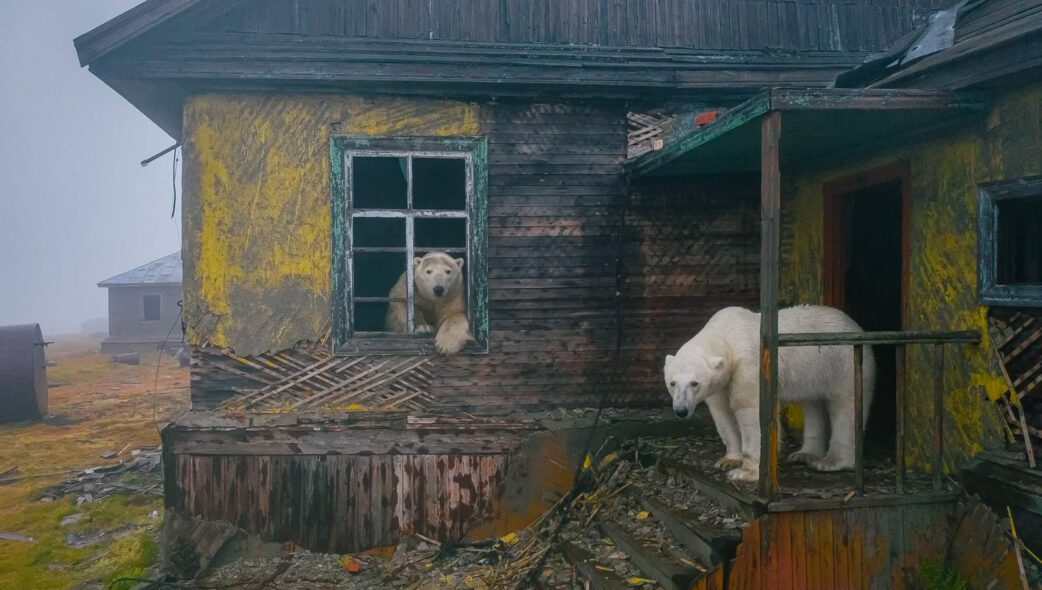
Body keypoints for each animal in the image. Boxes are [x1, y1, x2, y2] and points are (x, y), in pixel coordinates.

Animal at [663, 305, 876, 482]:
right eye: (672, 383)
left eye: (694, 383)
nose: (681, 410)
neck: (727, 335)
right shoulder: (721, 382)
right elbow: (723, 413)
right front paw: (728, 460)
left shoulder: (749, 366)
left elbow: (751, 411)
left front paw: (745, 472)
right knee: (814, 404)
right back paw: (804, 454)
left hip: (843, 363)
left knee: (845, 407)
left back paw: (830, 462)